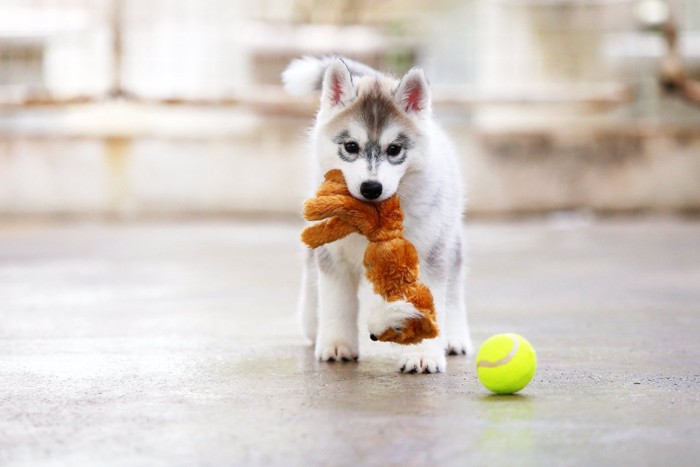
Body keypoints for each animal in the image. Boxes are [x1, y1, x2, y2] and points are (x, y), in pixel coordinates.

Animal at [282, 56, 474, 374]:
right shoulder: (334, 255)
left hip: (448, 238)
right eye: (351, 146)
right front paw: (337, 344)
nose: (371, 188)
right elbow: (336, 302)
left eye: (394, 149)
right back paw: (312, 322)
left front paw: (422, 354)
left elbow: (429, 301)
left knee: (455, 284)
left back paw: (454, 336)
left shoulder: (426, 254)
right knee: (311, 271)